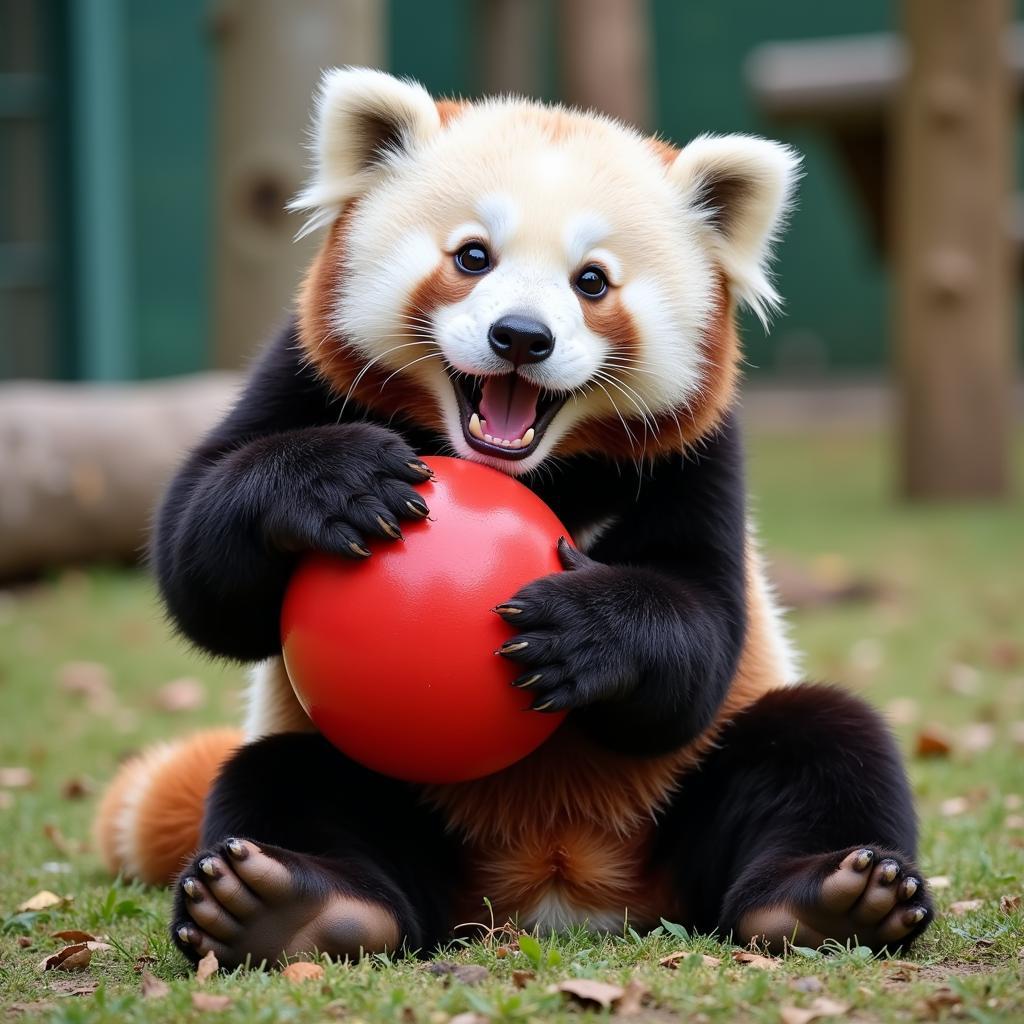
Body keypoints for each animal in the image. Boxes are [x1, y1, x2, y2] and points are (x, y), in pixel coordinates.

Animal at [94, 68, 929, 962]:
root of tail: (554, 894)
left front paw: (580, 631)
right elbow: (199, 564)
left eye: (591, 281)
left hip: (687, 794)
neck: (527, 469)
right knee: (285, 780)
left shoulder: (700, 453)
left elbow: (699, 624)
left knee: (827, 744)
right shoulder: (303, 371)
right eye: (472, 256)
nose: (521, 337)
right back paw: (290, 905)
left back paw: (832, 898)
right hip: (386, 785)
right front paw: (341, 482)